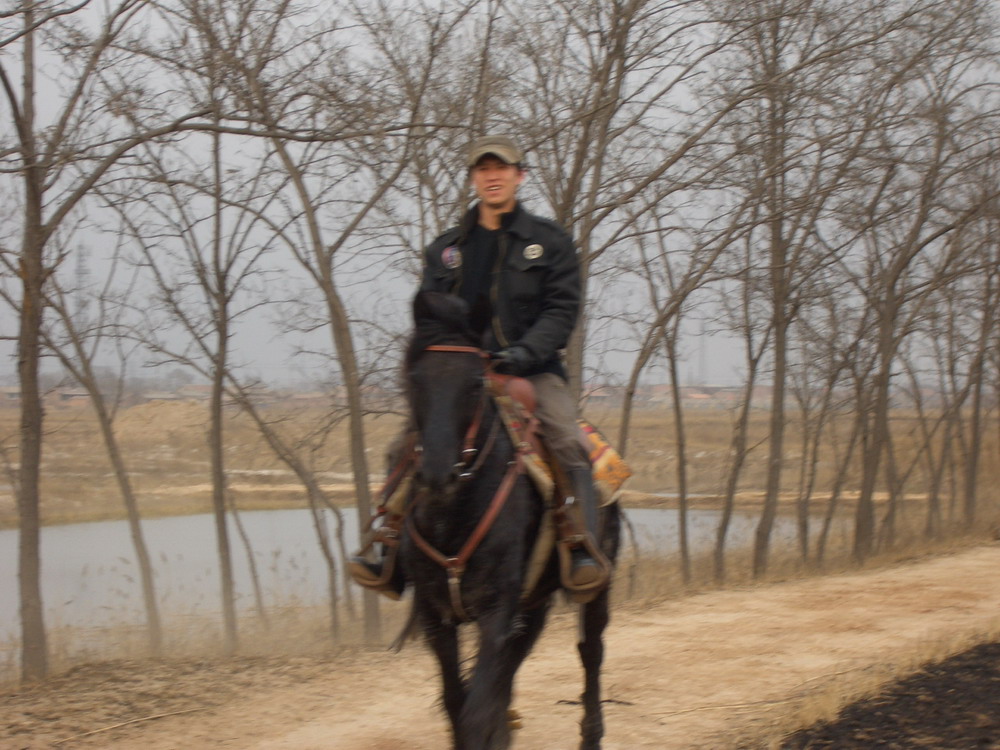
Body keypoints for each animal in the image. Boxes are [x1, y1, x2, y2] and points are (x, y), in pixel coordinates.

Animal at [396, 292, 616, 750]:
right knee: (516, 662)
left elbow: (476, 712)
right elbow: (457, 703)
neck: (455, 516)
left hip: (596, 586)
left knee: (591, 651)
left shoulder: (495, 610)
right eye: (415, 380)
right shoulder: (435, 615)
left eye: (476, 383)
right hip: (534, 600)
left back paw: (591, 734)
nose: (438, 474)